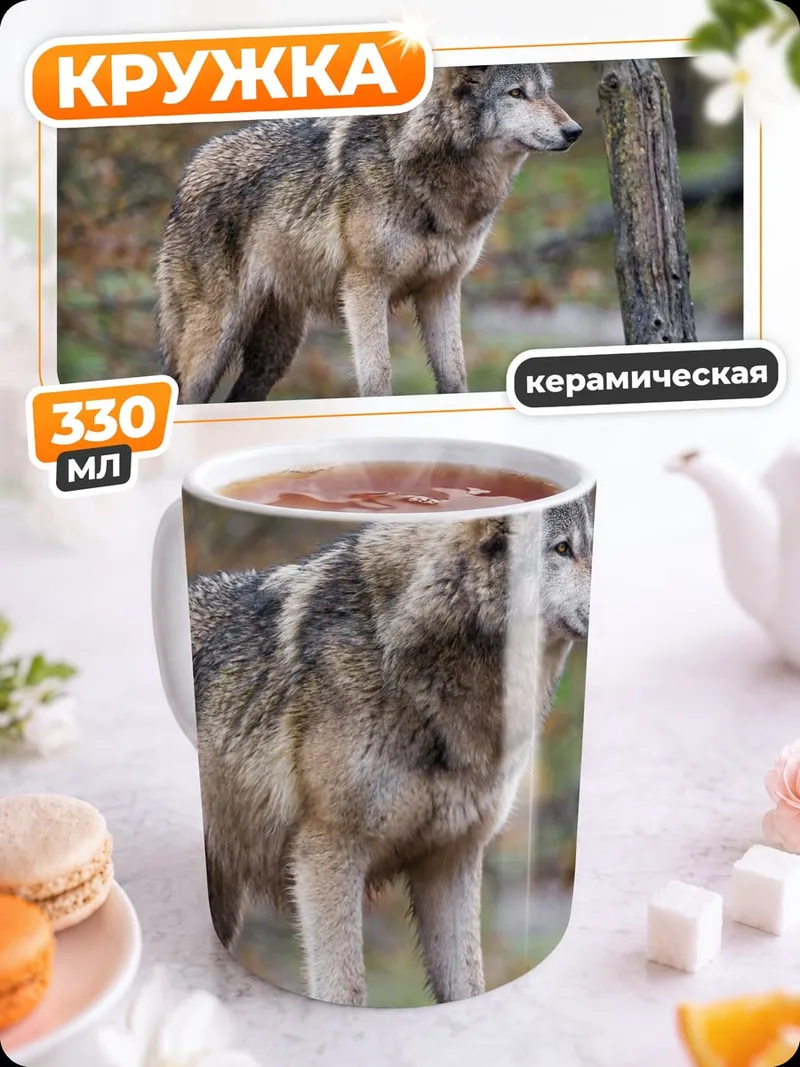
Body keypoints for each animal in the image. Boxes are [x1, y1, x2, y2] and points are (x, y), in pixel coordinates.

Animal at [156, 64, 583, 404]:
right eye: (517, 93)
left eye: (545, 91)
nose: (574, 131)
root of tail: (189, 172)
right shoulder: (364, 288)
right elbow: (377, 380)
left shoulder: (441, 288)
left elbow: (455, 379)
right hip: (214, 342)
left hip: (275, 353)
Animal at [188, 495, 593, 1006]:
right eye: (562, 548)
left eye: (591, 545)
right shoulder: (326, 854)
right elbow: (345, 990)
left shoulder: (451, 859)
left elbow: (468, 983)